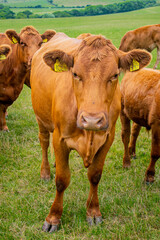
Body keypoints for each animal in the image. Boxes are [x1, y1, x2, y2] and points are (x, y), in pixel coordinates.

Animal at [30, 32, 151, 232]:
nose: (92, 120)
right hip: (41, 120)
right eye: (75, 74)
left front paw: (93, 212)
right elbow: (62, 180)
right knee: (44, 142)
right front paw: (53, 217)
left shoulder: (107, 139)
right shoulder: (60, 138)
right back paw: (46, 172)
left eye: (115, 75)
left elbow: (95, 176)